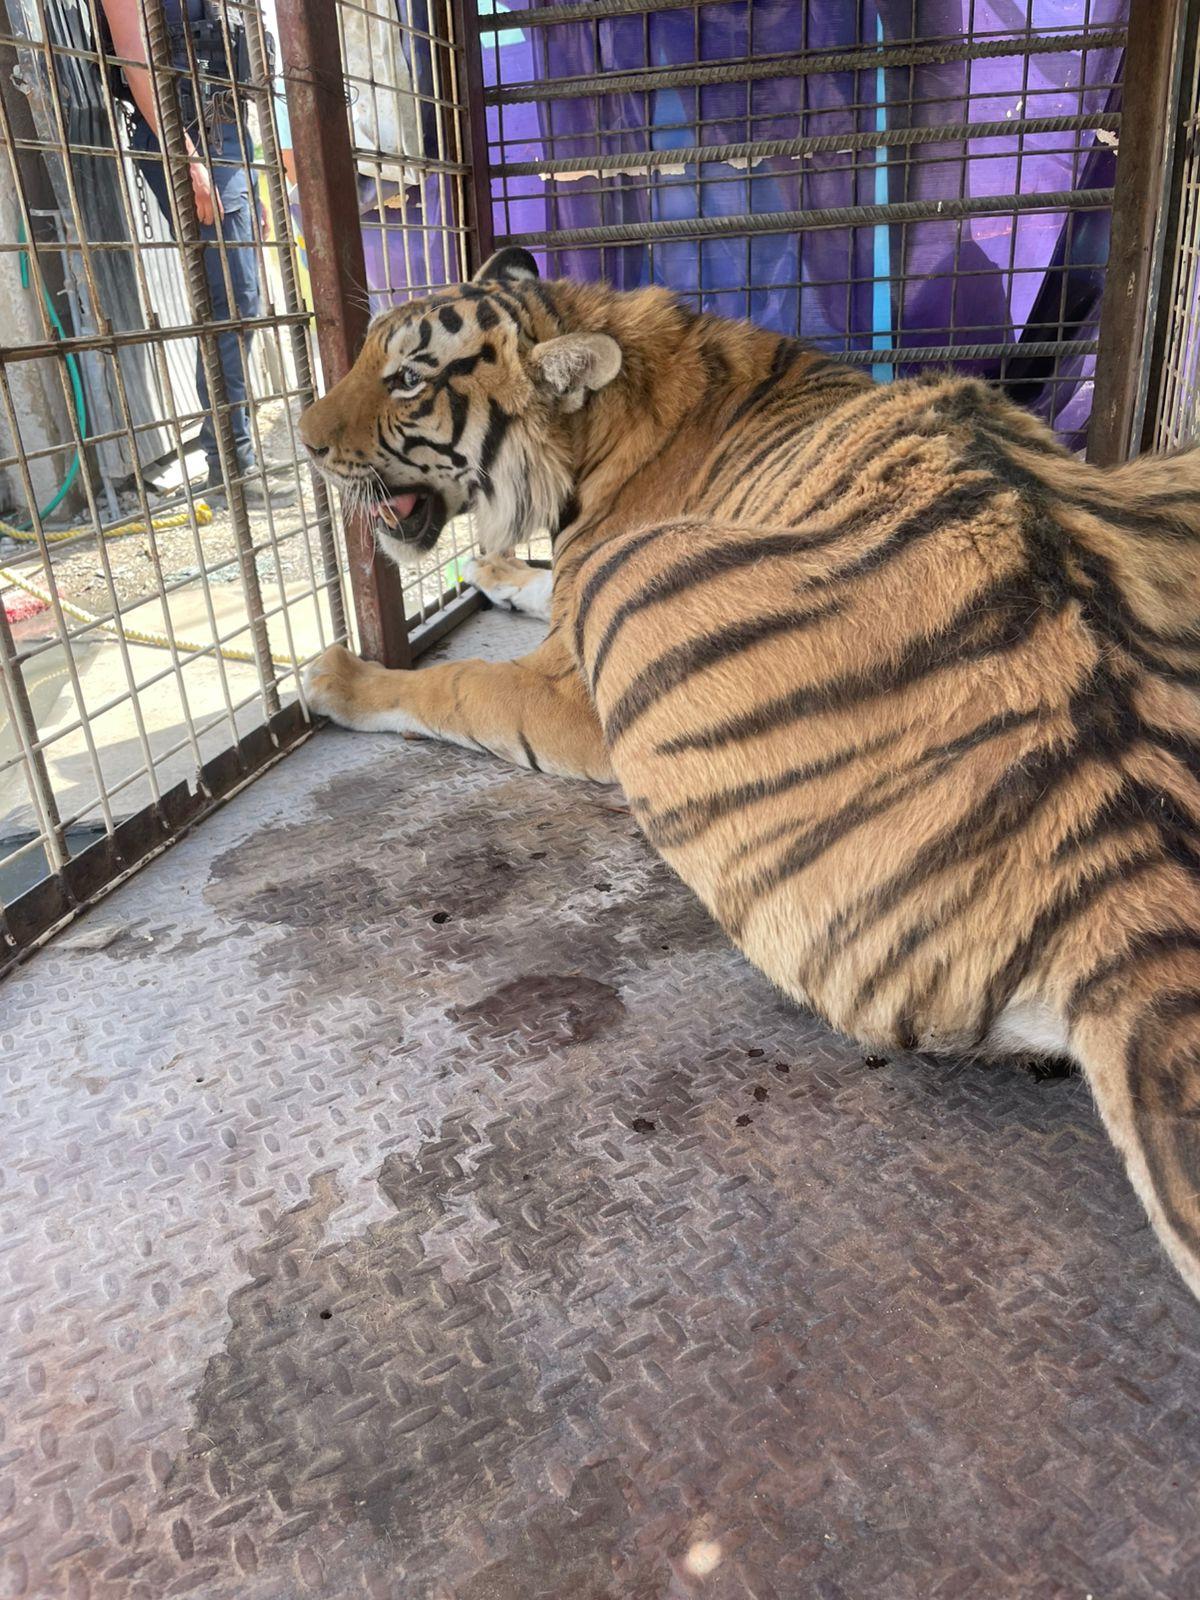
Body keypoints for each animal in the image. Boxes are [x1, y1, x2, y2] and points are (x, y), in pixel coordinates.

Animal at [299, 245, 1200, 1305]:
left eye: (406, 378)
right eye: (365, 352)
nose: (302, 444)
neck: (603, 417)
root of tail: (1126, 863)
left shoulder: (571, 689)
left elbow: (457, 686)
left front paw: (338, 676)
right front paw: (494, 571)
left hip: (636, 594)